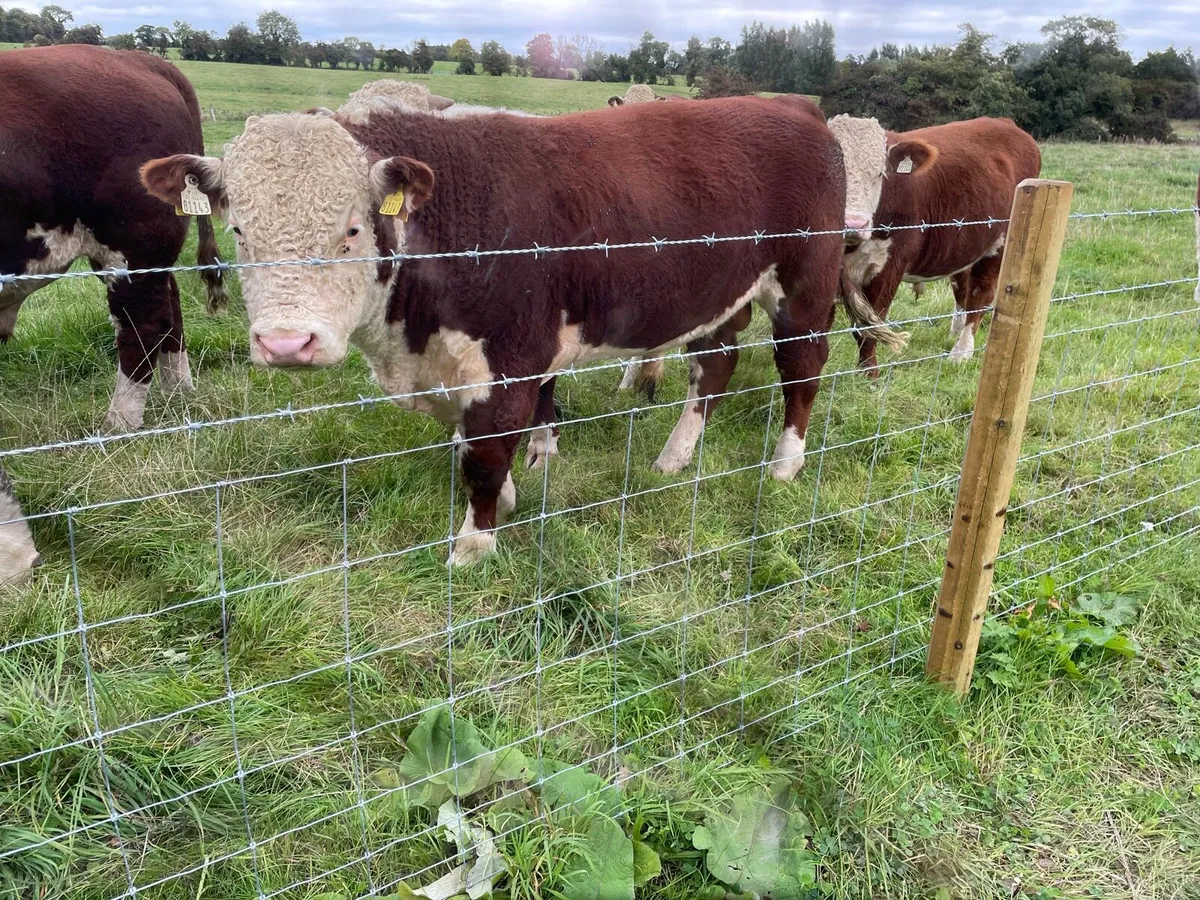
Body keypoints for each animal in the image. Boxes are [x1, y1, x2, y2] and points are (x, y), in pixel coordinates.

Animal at [0, 45, 226, 430]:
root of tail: (138, 59)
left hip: (132, 247)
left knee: (144, 323)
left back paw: (120, 425)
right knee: (171, 309)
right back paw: (178, 393)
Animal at [141, 99, 899, 564]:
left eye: (352, 229)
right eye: (241, 231)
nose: (285, 345)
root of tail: (792, 109)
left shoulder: (511, 358)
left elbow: (483, 452)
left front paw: (474, 546)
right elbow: (474, 444)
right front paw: (506, 497)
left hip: (803, 282)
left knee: (802, 367)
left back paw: (786, 462)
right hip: (717, 294)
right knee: (714, 365)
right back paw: (675, 457)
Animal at [829, 115, 1042, 374]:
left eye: (880, 174)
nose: (853, 224)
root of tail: (1004, 122)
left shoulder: (891, 265)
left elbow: (869, 329)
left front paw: (868, 374)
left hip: (999, 244)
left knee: (979, 295)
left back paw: (961, 352)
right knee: (962, 289)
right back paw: (954, 334)